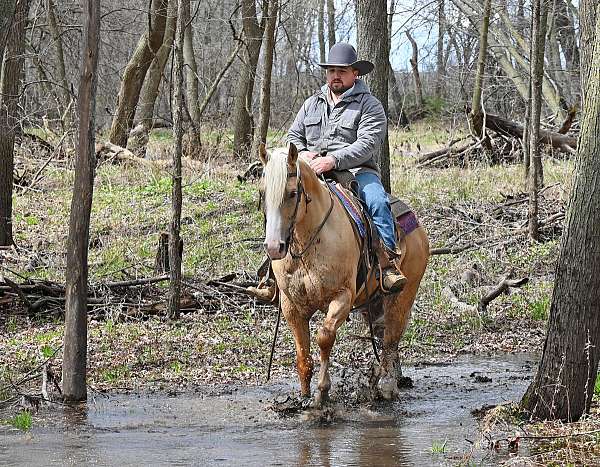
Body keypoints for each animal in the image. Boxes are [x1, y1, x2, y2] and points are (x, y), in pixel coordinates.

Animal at [260, 144, 428, 408]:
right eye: (262, 192)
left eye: (293, 192)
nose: (274, 247)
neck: (309, 242)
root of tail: (416, 224)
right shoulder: (291, 305)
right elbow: (302, 354)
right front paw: (303, 396)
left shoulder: (342, 297)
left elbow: (324, 337)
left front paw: (322, 392)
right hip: (373, 301)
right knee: (381, 334)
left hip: (403, 295)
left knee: (391, 338)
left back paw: (387, 387)